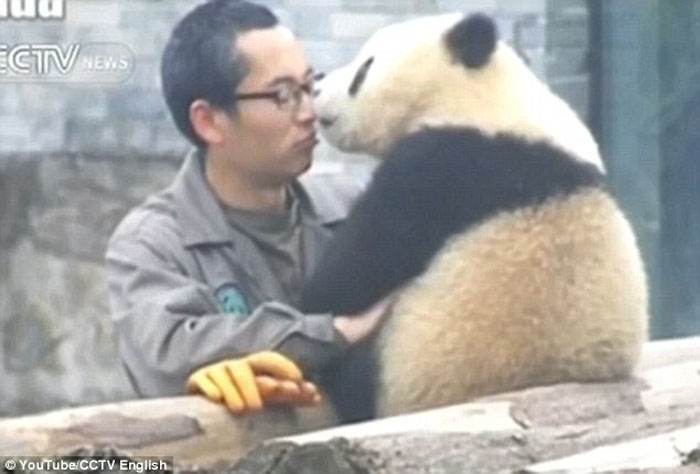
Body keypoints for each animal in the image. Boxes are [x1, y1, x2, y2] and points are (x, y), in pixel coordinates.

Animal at [300, 12, 648, 423]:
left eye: (365, 69)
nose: (317, 84)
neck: (480, 95)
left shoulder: (445, 165)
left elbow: (350, 274)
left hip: (404, 366)